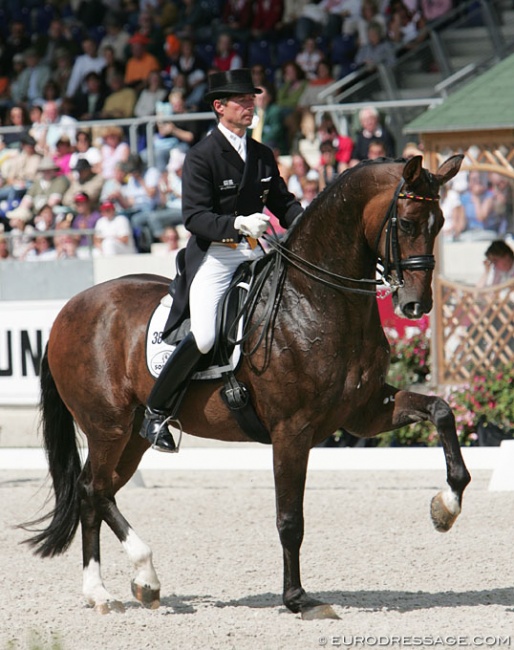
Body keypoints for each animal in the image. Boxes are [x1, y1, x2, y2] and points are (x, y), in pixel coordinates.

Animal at [23, 153, 468, 616]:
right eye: (407, 223)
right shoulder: (292, 431)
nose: (416, 305)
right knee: (94, 489)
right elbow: (290, 520)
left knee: (94, 491)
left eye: (439, 223)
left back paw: (108, 590)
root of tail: (68, 310)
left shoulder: (365, 413)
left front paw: (446, 506)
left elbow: (441, 411)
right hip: (106, 426)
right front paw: (298, 598)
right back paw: (138, 577)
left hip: (133, 435)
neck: (314, 300)